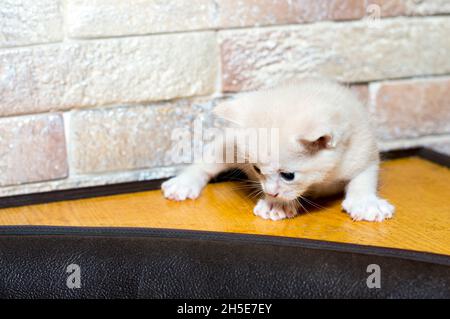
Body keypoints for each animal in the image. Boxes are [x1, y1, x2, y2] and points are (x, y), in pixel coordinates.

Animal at [162, 78, 394, 222]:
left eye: (288, 175)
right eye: (256, 169)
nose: (271, 192)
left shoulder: (363, 150)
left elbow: (363, 179)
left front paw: (366, 203)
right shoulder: (233, 145)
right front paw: (277, 204)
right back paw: (184, 183)